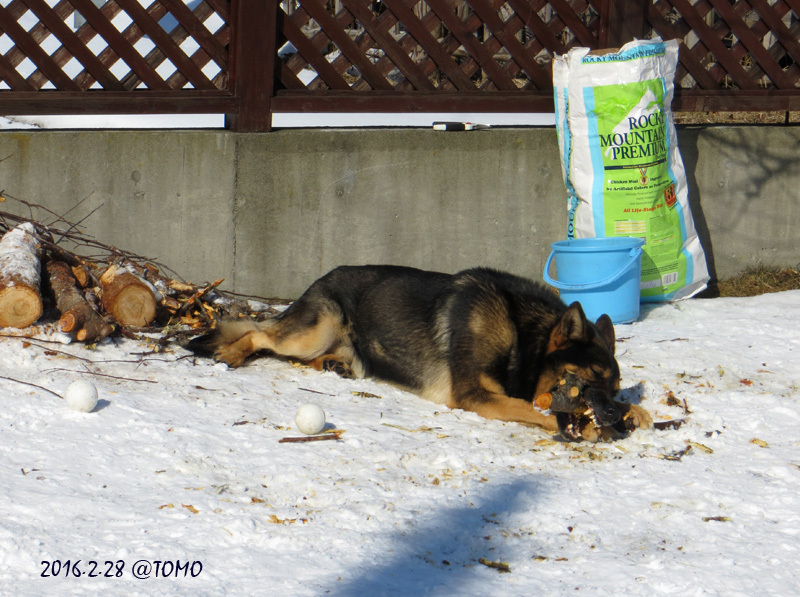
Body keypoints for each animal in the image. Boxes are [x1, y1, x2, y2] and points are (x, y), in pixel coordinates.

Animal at [188, 264, 648, 438]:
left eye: (615, 386)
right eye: (590, 378)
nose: (614, 416)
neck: (522, 335)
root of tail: (320, 278)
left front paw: (637, 412)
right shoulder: (473, 396)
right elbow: (533, 409)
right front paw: (587, 425)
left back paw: (334, 366)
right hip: (315, 329)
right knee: (259, 335)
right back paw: (231, 354)